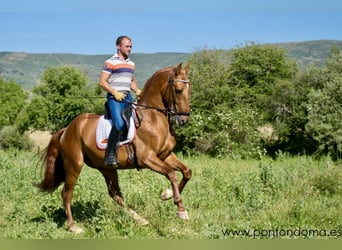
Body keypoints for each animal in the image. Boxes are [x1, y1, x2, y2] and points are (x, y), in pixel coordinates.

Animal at [35, 63, 192, 234]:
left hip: (107, 168)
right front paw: (181, 209)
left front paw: (167, 195)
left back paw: (140, 219)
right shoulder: (147, 158)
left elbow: (186, 172)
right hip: (74, 165)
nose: (183, 120)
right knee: (66, 193)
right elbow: (171, 174)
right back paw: (73, 226)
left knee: (115, 195)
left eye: (189, 89)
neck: (153, 119)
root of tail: (67, 129)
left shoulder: (165, 155)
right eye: (178, 90)